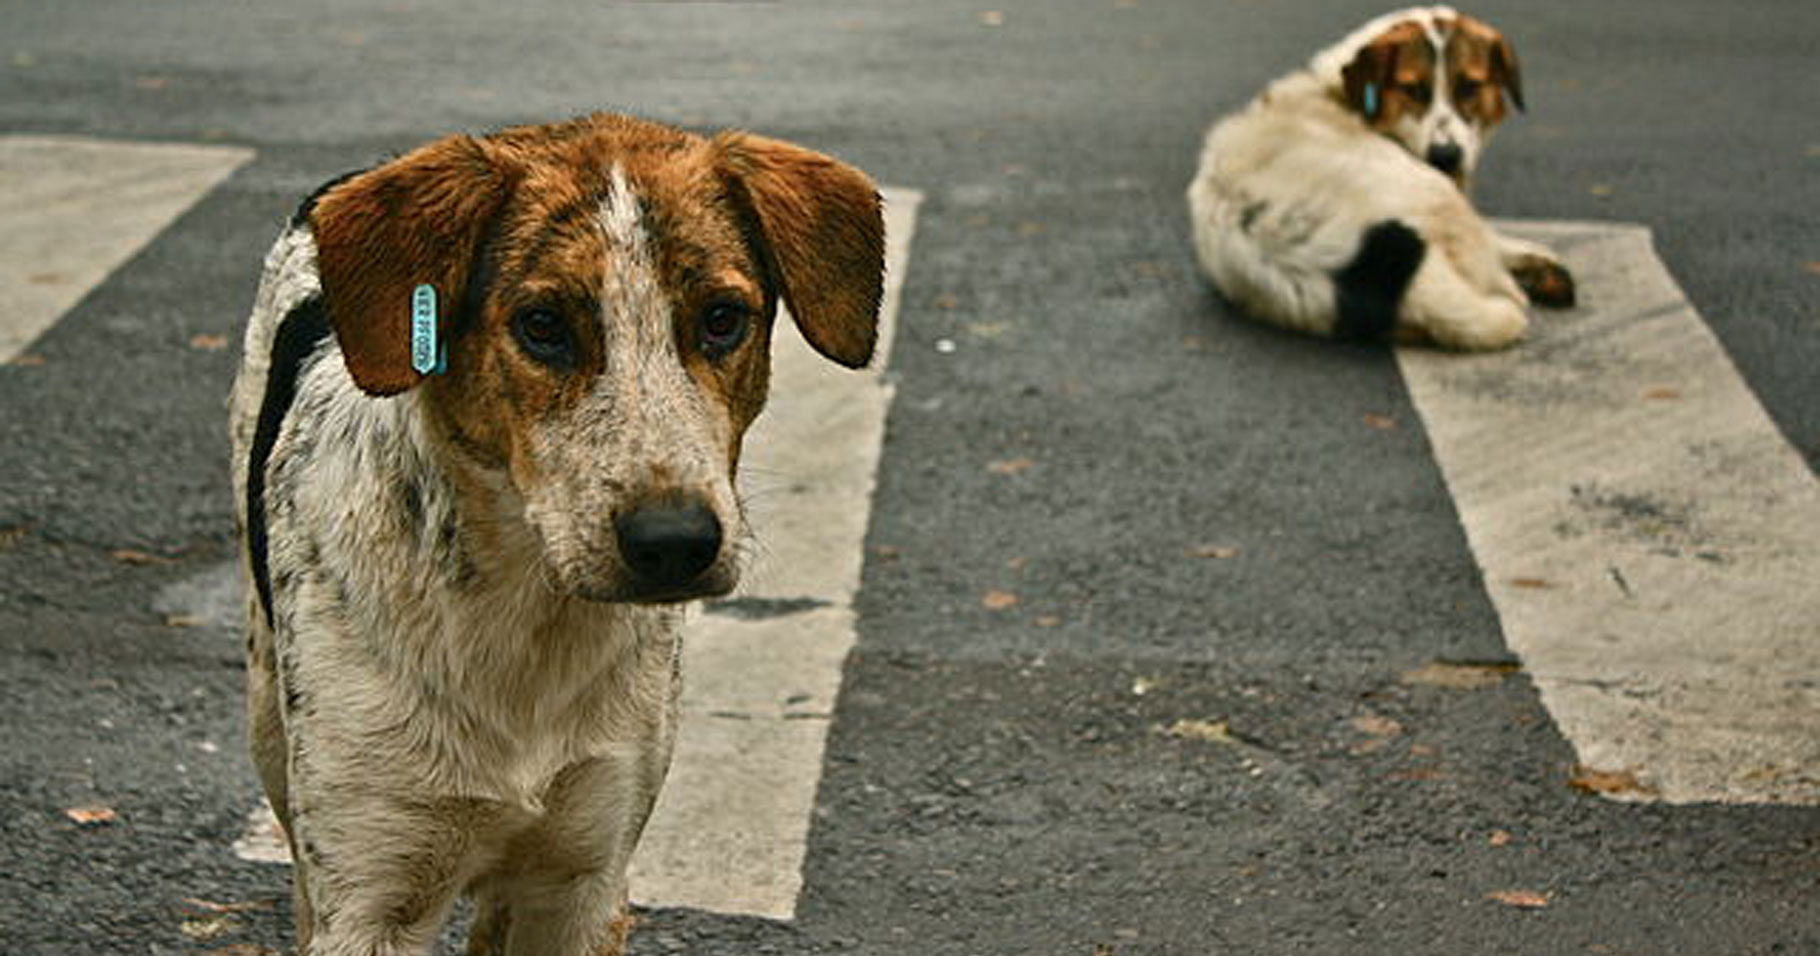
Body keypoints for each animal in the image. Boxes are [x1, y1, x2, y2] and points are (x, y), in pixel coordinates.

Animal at [231, 113, 884, 954]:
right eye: (541, 325)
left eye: (721, 319)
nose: (674, 542)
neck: (525, 616)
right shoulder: (370, 899)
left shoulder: (585, 877)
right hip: (268, 718)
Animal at [1186, 7, 1572, 349]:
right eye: (1412, 90)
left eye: (1469, 87)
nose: (1446, 156)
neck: (1340, 93)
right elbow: (1496, 241)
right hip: (1435, 194)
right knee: (1502, 286)